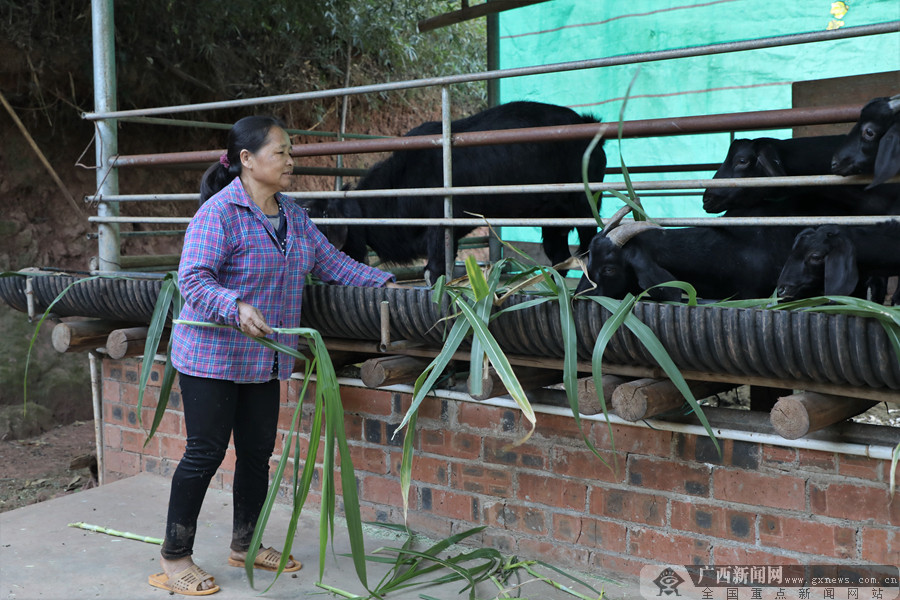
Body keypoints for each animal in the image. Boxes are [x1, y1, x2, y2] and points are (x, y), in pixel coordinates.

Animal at [300, 101, 604, 284]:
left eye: (320, 221)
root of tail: (586, 122)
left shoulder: (441, 224)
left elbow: (434, 270)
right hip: (554, 215)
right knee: (559, 254)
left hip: (585, 204)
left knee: (589, 243)